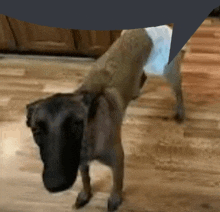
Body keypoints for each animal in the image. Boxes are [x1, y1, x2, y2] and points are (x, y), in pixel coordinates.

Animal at [26, 28, 153, 212]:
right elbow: (86, 179)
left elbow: (117, 183)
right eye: (36, 131)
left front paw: (115, 198)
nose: (56, 185)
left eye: (76, 125)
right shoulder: (81, 163)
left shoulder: (117, 160)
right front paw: (86, 194)